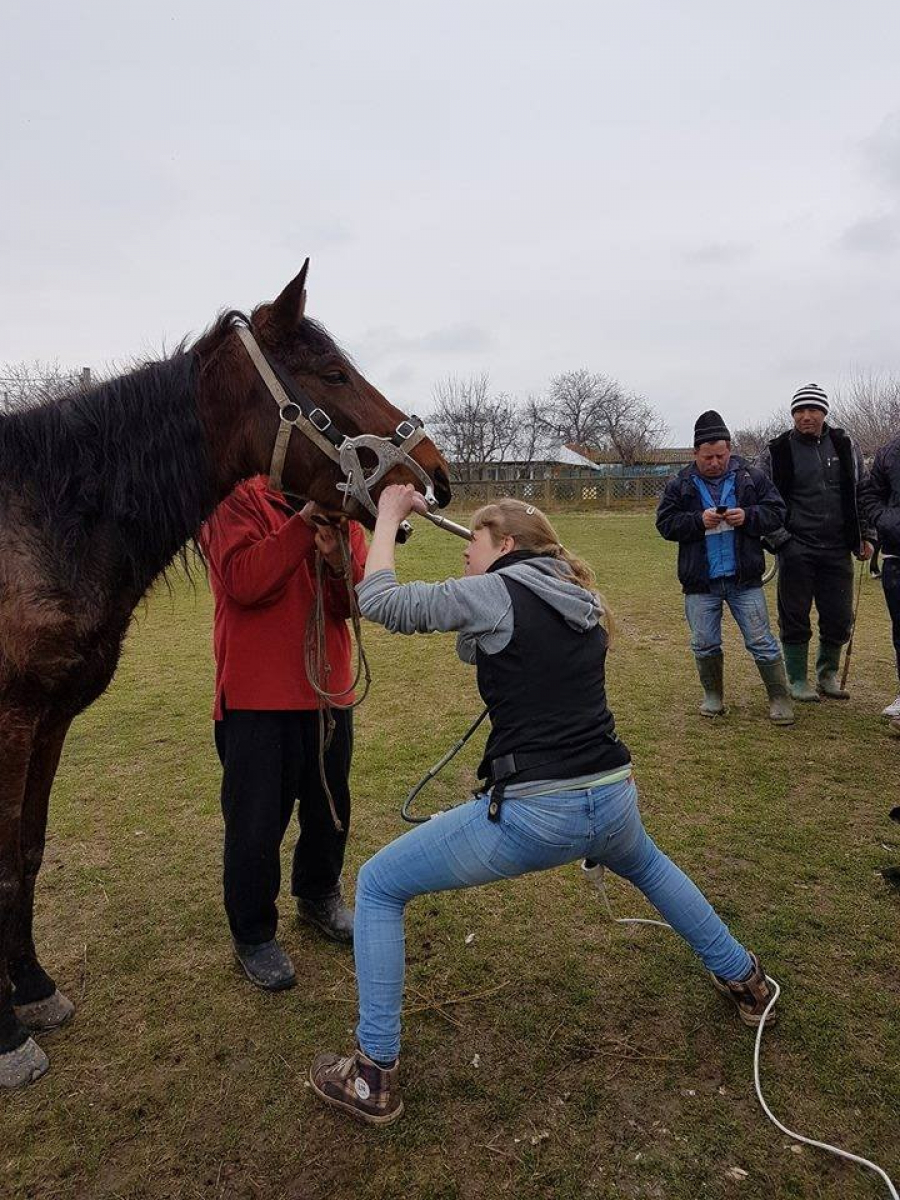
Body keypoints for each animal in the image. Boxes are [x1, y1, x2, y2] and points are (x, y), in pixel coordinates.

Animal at [0, 262, 451, 1089]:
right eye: (332, 373)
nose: (435, 474)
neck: (42, 518)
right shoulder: (13, 718)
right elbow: (4, 864)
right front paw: (7, 1035)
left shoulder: (50, 716)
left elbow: (28, 851)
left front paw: (34, 989)